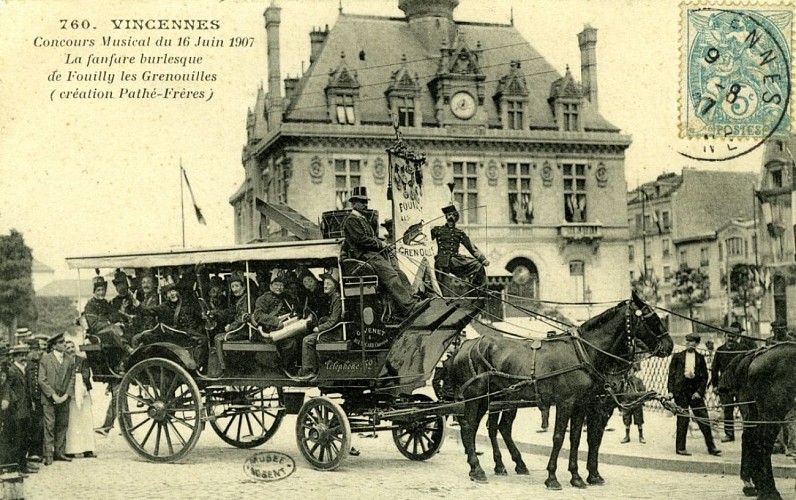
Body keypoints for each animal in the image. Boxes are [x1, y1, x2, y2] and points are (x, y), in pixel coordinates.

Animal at [442, 292, 672, 486]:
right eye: (652, 319)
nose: (669, 345)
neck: (583, 351)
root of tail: (464, 346)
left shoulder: (582, 405)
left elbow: (577, 438)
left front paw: (578, 476)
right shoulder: (566, 403)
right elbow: (560, 437)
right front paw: (553, 477)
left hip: (494, 399)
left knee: (489, 428)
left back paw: (500, 465)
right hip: (476, 397)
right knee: (469, 427)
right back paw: (477, 469)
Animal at [720, 344, 796, 500]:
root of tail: (756, 354)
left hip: (752, 412)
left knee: (749, 438)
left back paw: (752, 485)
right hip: (772, 414)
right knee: (762, 444)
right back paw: (769, 492)